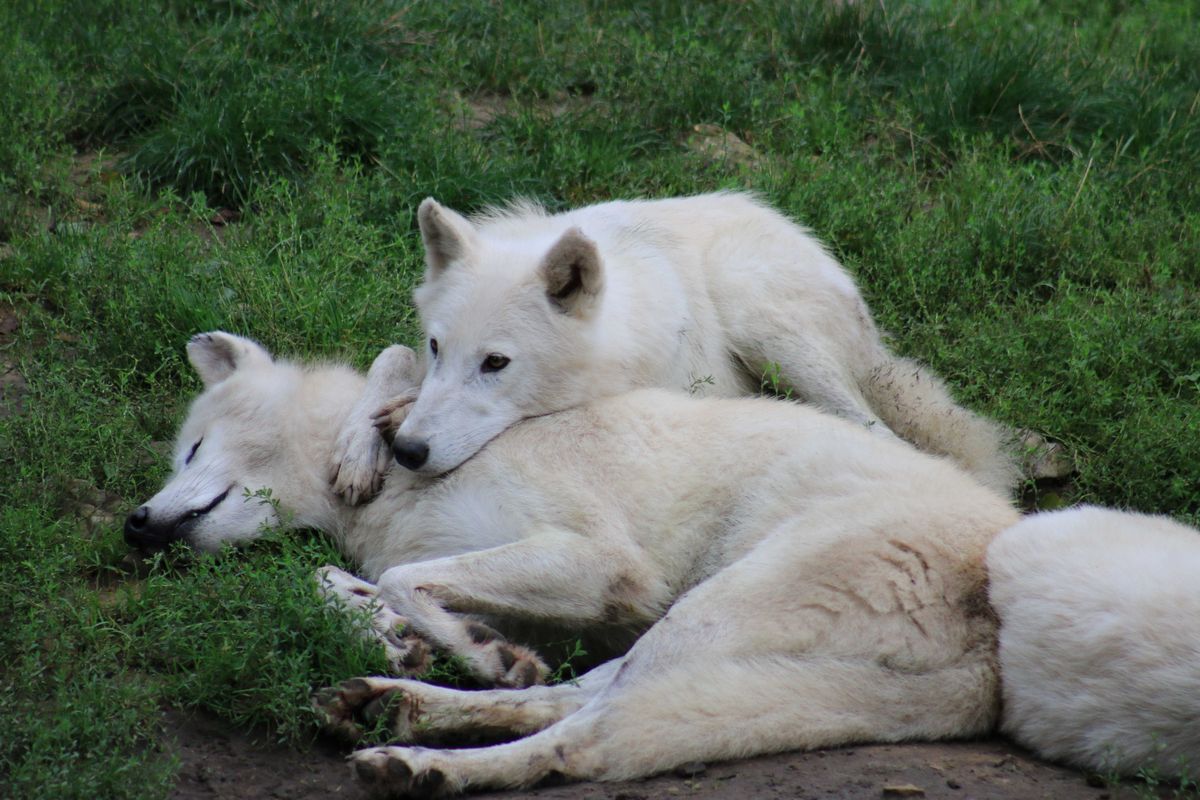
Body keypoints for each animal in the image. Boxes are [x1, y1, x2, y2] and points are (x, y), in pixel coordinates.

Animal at [129, 333, 1200, 796]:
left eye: (190, 449)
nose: (136, 528)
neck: (388, 486)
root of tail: (992, 661)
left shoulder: (597, 561)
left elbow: (400, 579)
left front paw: (455, 646)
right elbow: (346, 583)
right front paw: (430, 649)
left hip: (704, 614)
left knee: (595, 741)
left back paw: (419, 762)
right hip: (690, 633)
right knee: (581, 700)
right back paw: (402, 706)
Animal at [333, 190, 1017, 496]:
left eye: (496, 363)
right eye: (439, 346)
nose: (410, 452)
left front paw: (389, 421)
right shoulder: (416, 355)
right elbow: (392, 354)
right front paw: (358, 445)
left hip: (757, 312)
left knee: (876, 431)